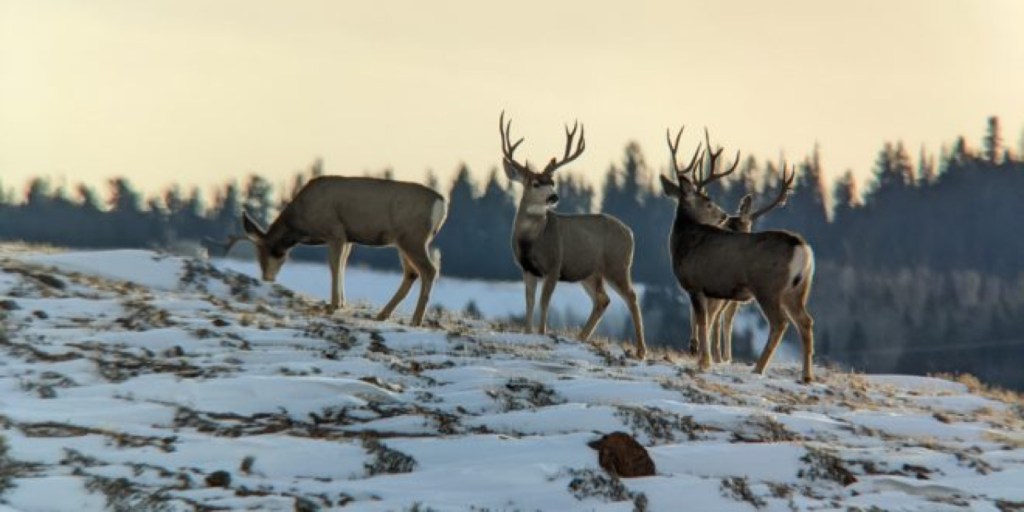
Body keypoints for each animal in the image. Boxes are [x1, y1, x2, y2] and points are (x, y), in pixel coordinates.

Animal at [216, 175, 448, 327]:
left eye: (273, 252)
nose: (267, 278)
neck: (302, 221)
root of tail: (442, 203)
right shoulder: (348, 238)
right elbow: (342, 266)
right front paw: (341, 303)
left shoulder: (334, 231)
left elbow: (334, 266)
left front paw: (333, 305)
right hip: (403, 241)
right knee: (412, 273)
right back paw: (383, 314)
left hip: (413, 238)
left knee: (429, 270)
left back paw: (415, 320)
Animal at [499, 111, 647, 359]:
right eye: (536, 183)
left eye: (552, 181)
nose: (554, 197)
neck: (533, 241)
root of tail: (631, 233)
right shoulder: (527, 269)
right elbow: (529, 302)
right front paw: (528, 332)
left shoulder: (554, 265)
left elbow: (544, 302)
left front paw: (541, 333)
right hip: (590, 272)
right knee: (603, 299)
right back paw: (581, 338)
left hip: (617, 264)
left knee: (631, 296)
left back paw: (641, 351)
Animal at [661, 126, 816, 382]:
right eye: (709, 202)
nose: (724, 215)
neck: (685, 240)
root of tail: (801, 248)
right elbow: (705, 322)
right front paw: (703, 358)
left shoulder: (696, 284)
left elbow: (703, 322)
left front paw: (703, 362)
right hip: (797, 289)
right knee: (805, 322)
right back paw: (806, 376)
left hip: (768, 286)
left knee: (780, 323)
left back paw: (758, 368)